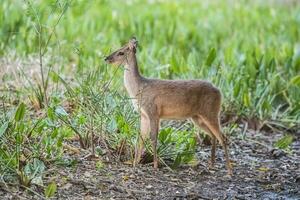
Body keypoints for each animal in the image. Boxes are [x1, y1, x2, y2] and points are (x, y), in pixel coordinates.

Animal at [104, 37, 233, 175]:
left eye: (121, 52)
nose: (106, 58)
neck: (139, 88)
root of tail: (219, 91)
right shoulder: (144, 115)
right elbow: (141, 139)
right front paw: (134, 164)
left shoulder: (153, 112)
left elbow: (153, 138)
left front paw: (155, 165)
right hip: (197, 118)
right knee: (214, 136)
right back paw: (212, 165)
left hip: (211, 112)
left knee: (223, 137)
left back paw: (229, 171)